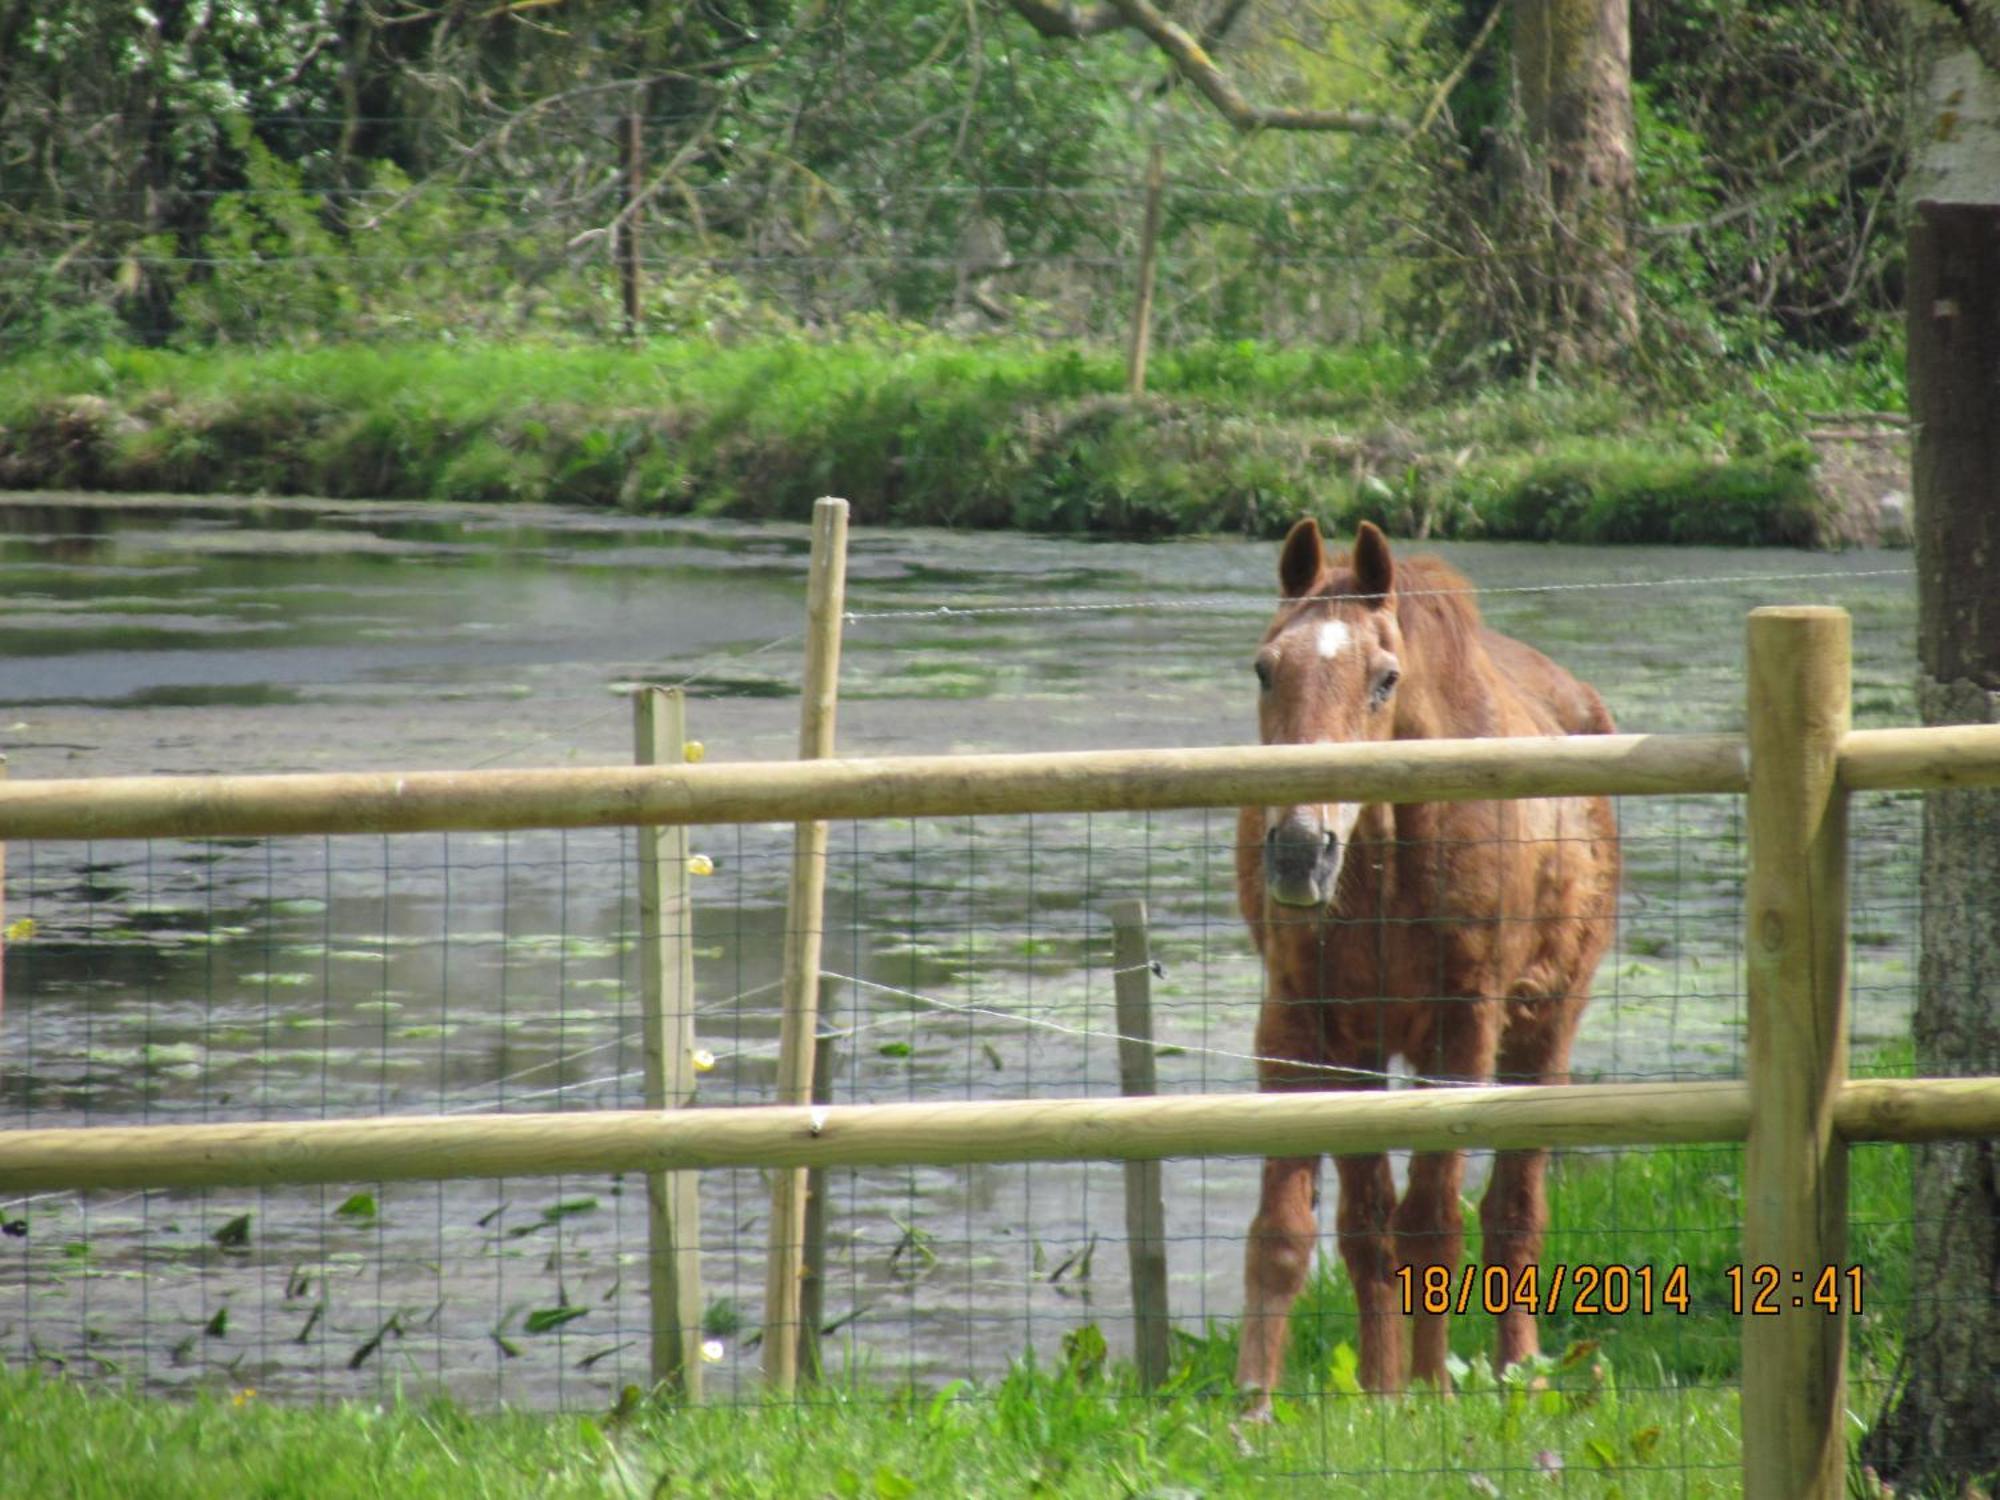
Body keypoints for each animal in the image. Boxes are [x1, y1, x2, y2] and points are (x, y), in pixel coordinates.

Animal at [1232, 524, 1624, 1416]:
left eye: (1386, 678)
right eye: (1266, 668)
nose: (1299, 852)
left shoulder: (1465, 1023)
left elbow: (1436, 1221)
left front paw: (1433, 1391)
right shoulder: (1303, 1026)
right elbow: (1301, 1228)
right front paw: (1259, 1405)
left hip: (1542, 1031)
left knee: (1513, 1213)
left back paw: (1517, 1375)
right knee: (1376, 1219)